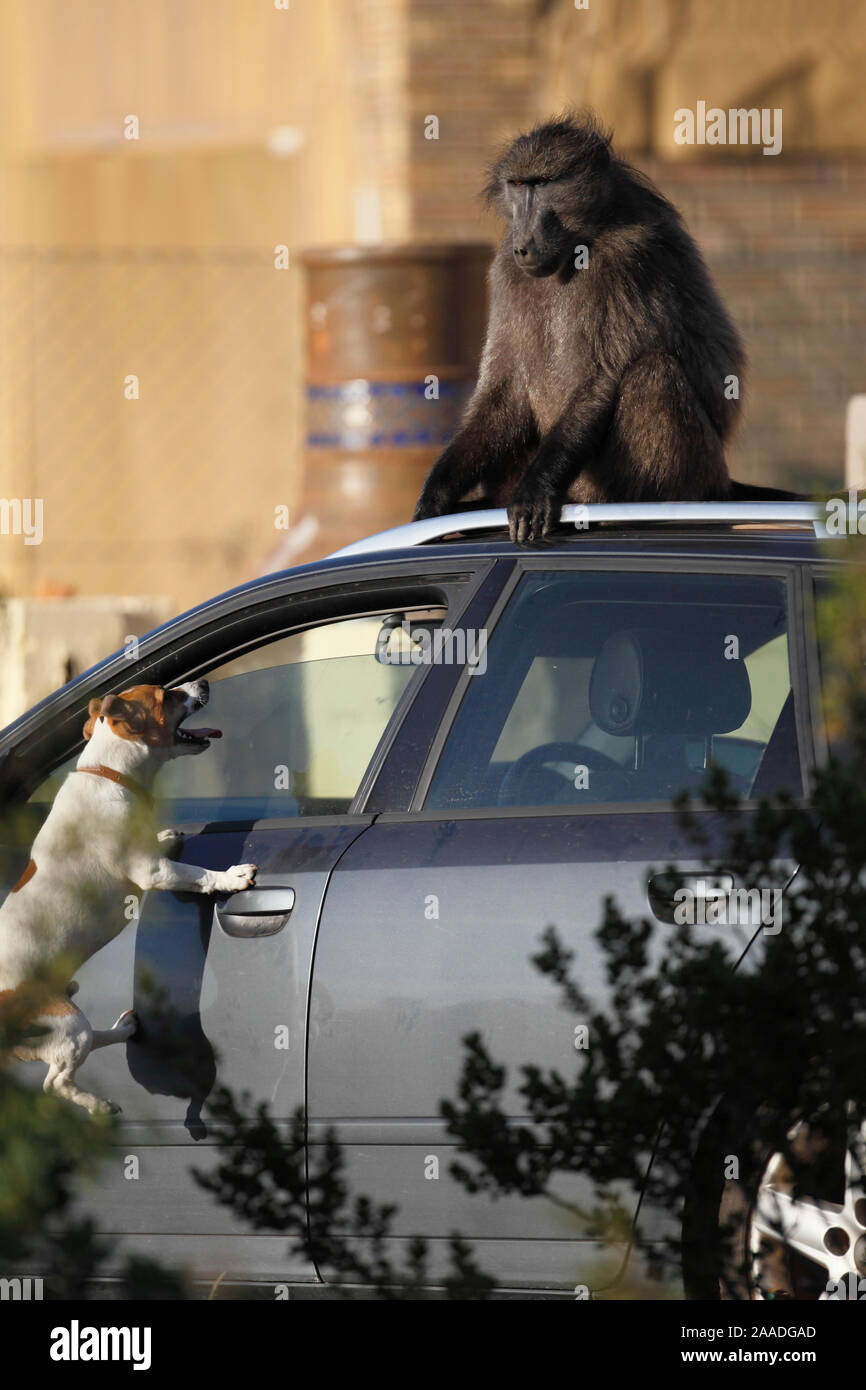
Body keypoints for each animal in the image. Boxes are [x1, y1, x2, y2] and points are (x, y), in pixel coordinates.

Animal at [0, 683, 257, 1117]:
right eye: (167, 695)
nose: (203, 684)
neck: (111, 773)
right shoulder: (153, 872)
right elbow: (198, 874)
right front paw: (231, 876)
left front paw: (166, 836)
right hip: (66, 1024)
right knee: (55, 1082)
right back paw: (98, 1105)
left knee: (88, 1046)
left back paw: (123, 1029)